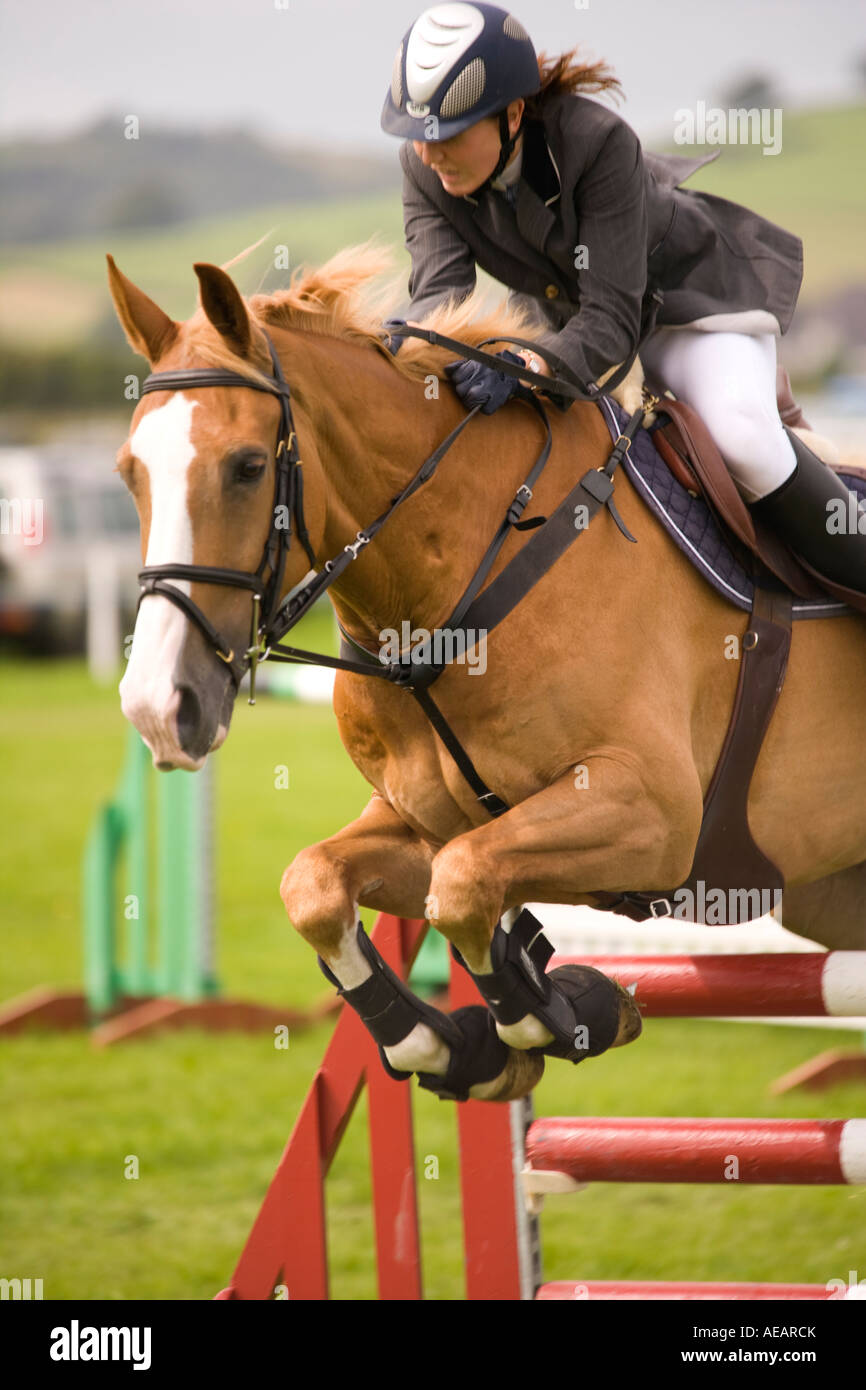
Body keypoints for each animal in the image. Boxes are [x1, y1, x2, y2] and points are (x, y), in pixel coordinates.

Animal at [107, 244, 866, 1104]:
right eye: (129, 473)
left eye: (243, 468)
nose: (158, 705)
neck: (453, 593)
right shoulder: (426, 824)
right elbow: (317, 885)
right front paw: (451, 1044)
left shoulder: (650, 814)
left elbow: (466, 885)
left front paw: (568, 1010)